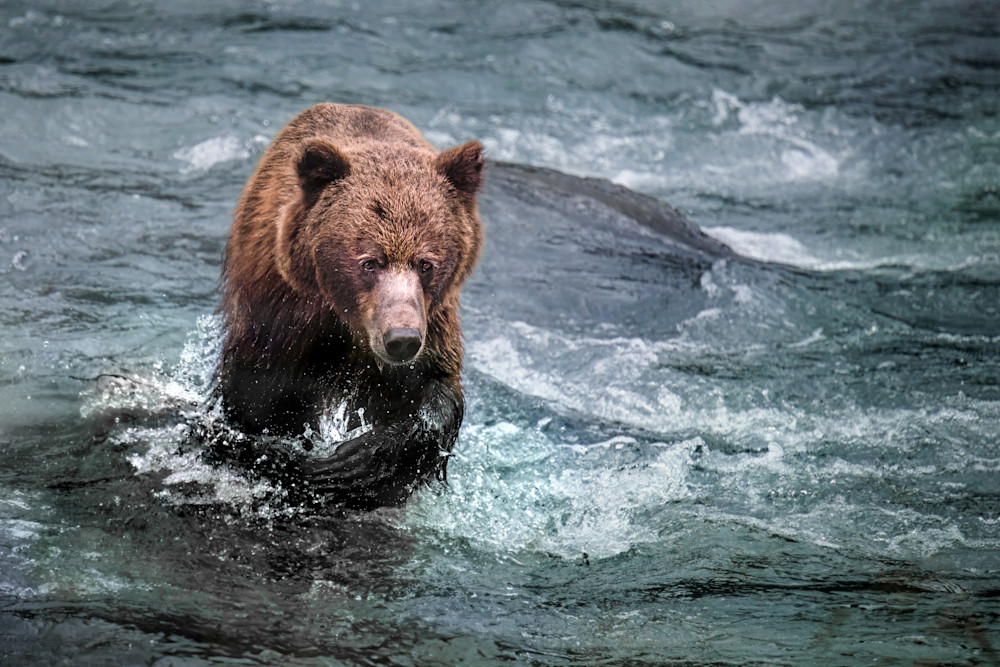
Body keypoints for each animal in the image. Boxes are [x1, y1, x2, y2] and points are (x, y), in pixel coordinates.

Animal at [213, 103, 484, 510]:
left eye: (427, 263)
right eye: (369, 262)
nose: (401, 339)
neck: (347, 324)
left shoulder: (433, 323)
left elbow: (434, 396)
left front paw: (354, 463)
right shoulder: (282, 316)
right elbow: (256, 399)